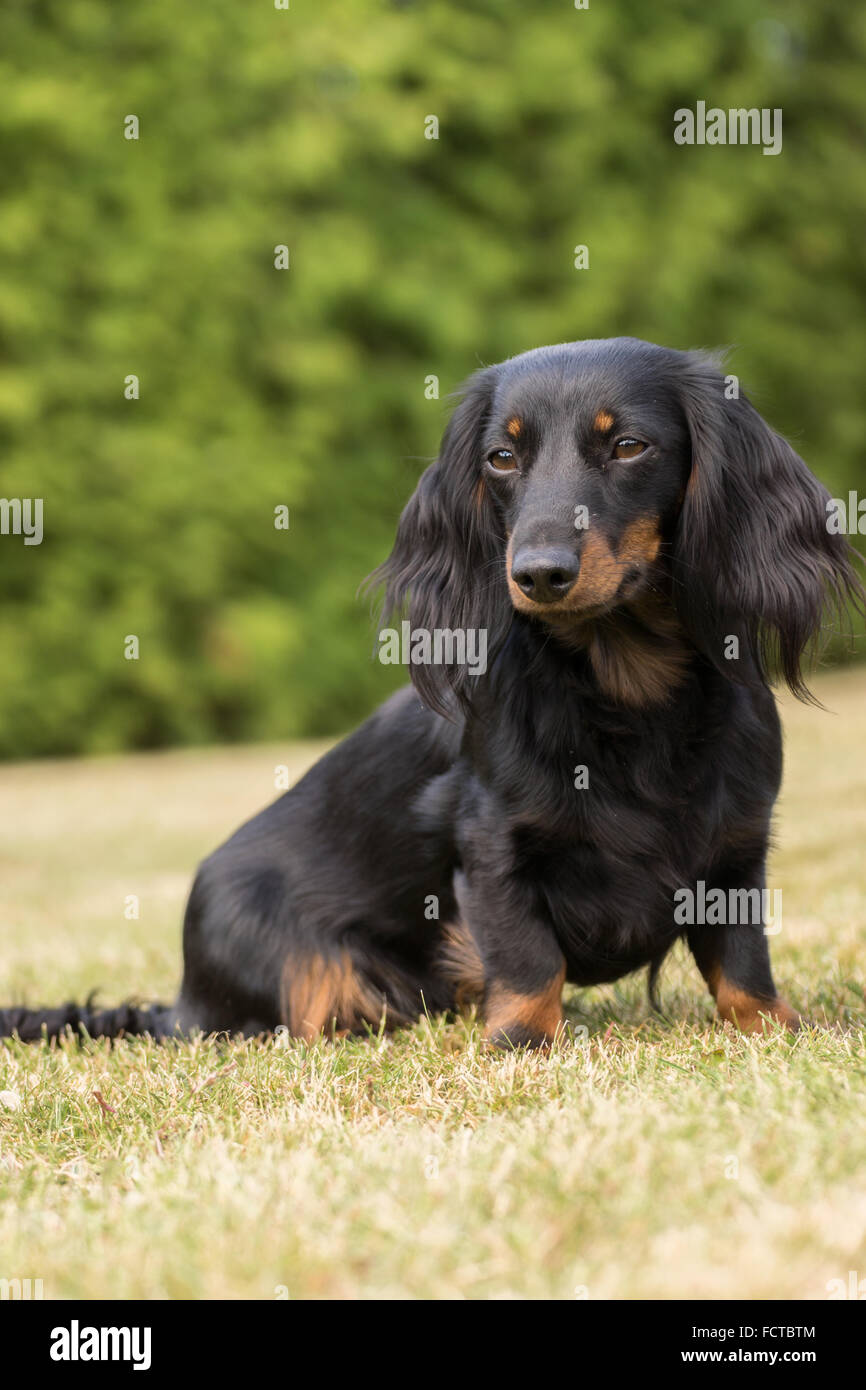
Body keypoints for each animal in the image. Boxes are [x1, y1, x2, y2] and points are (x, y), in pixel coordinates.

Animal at [1, 341, 861, 1045]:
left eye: (628, 446)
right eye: (501, 458)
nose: (538, 574)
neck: (625, 688)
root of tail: (182, 1005)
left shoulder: (737, 843)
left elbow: (741, 957)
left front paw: (772, 1025)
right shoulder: (488, 839)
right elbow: (526, 955)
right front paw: (521, 1041)